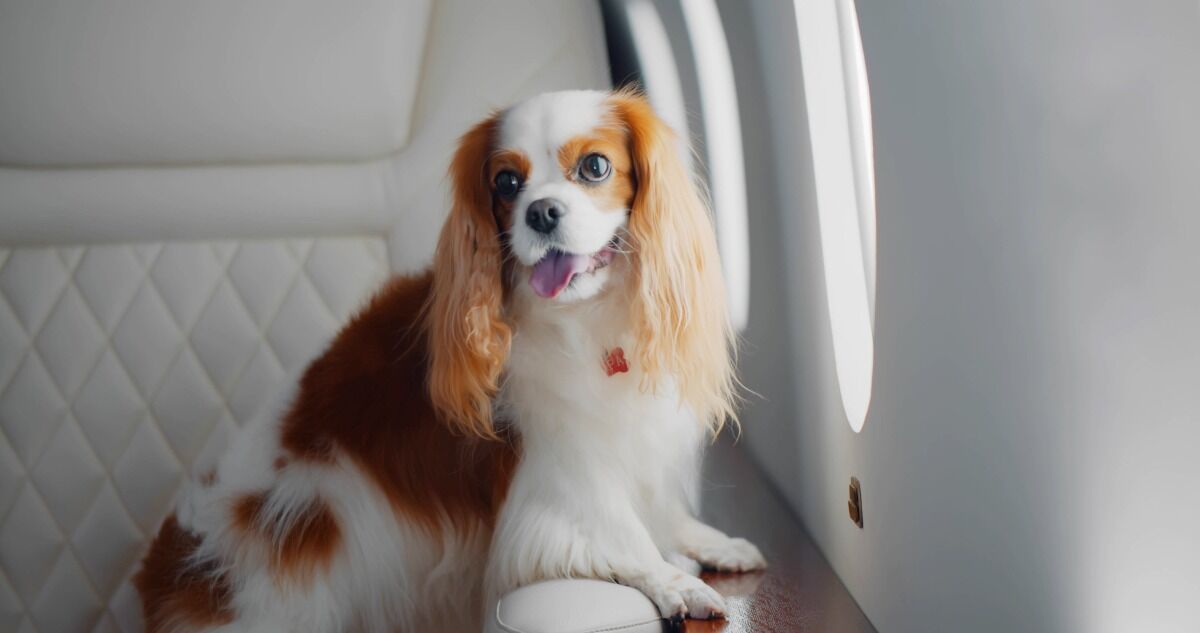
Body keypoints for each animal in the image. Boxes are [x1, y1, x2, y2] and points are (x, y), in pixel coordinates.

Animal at [133, 88, 768, 633]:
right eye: (506, 181)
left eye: (594, 167)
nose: (540, 212)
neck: (585, 320)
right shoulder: (558, 473)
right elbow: (619, 531)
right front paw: (673, 582)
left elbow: (659, 510)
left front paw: (710, 541)